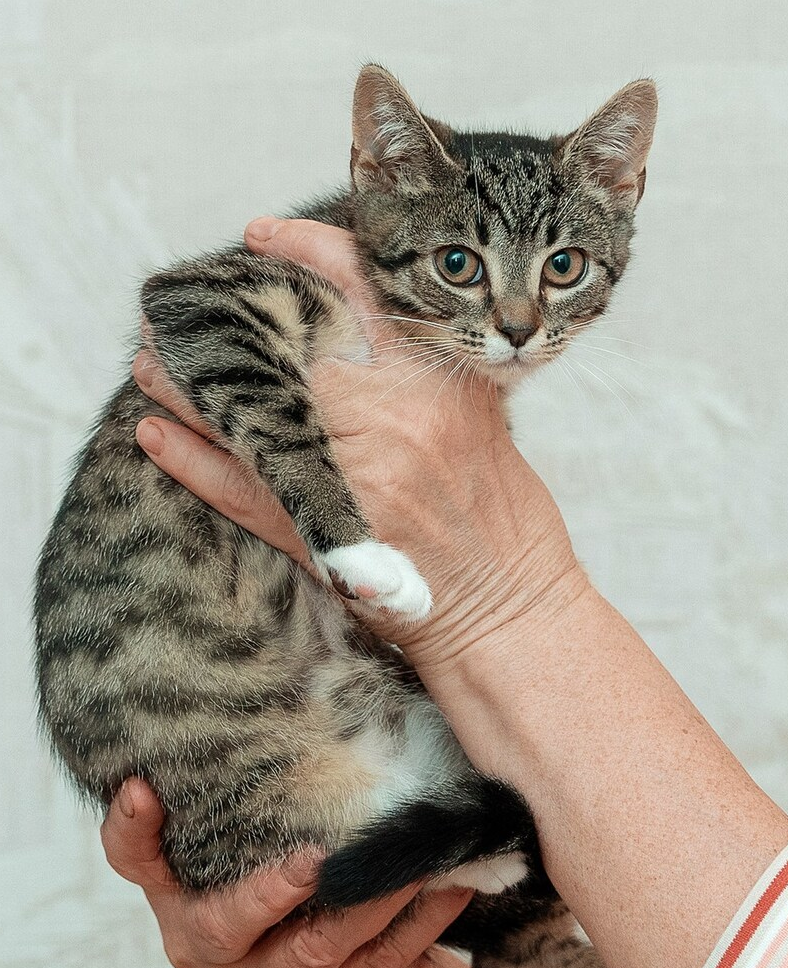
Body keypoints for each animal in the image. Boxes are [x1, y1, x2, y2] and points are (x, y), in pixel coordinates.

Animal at [33, 64, 656, 964]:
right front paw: (364, 555)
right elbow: (279, 414)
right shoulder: (210, 297)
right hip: (251, 804)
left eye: (565, 266)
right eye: (458, 263)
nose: (517, 330)